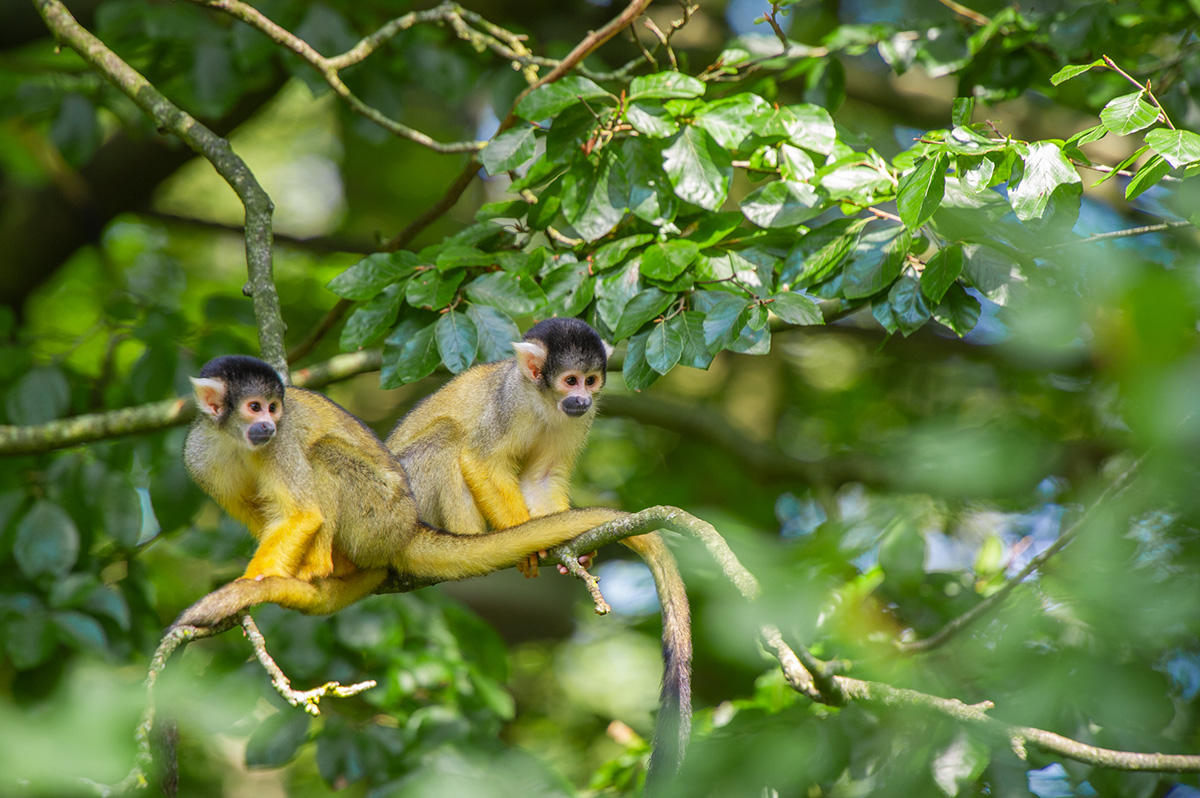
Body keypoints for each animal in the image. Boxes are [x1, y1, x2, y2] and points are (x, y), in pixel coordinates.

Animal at [175, 354, 624, 629]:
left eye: (271, 408)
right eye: (254, 407)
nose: (268, 424)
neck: (236, 440)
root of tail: (408, 526)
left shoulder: (279, 444)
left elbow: (301, 514)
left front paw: (251, 583)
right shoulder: (198, 457)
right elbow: (261, 513)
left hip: (379, 518)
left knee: (325, 453)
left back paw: (324, 567)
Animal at [385, 317, 692, 784]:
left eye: (591, 380)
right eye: (569, 380)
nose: (582, 398)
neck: (543, 402)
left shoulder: (578, 421)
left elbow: (543, 476)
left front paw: (571, 553)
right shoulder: (508, 404)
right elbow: (481, 460)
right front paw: (523, 540)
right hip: (404, 494)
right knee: (449, 438)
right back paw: (469, 539)